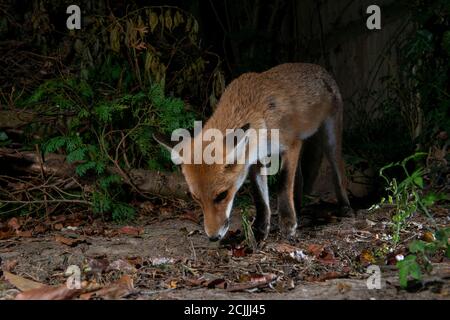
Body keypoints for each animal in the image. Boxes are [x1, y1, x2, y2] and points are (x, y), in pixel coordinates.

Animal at [155, 63, 352, 242]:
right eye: (196, 198)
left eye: (222, 195)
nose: (213, 237)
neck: (259, 114)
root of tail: (320, 69)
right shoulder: (255, 158)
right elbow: (260, 198)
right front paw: (260, 230)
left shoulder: (290, 145)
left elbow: (282, 185)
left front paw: (287, 223)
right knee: (299, 179)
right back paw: (297, 207)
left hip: (330, 139)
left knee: (338, 173)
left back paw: (345, 206)